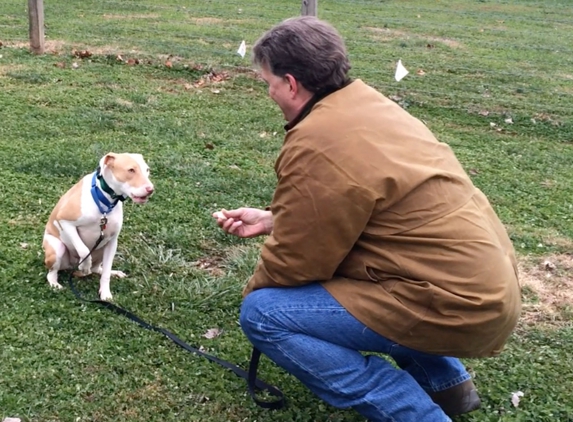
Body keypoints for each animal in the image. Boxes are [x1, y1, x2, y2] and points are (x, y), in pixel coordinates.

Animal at [42, 152, 154, 300]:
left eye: (147, 170)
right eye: (131, 170)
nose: (150, 189)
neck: (104, 200)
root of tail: (70, 267)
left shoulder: (112, 242)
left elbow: (105, 273)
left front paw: (105, 293)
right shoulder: (65, 221)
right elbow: (83, 250)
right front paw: (85, 265)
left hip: (102, 249)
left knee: (98, 269)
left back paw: (113, 272)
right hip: (57, 247)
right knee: (52, 272)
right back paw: (56, 283)